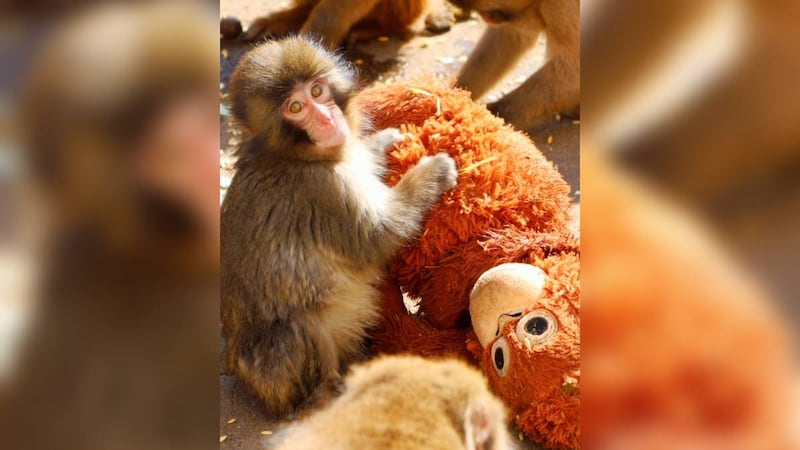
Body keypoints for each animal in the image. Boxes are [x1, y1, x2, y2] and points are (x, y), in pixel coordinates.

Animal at [220, 36, 458, 417]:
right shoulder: (323, 190)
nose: (325, 118)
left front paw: (381, 142)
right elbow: (378, 237)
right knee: (297, 327)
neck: (296, 155)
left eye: (317, 90)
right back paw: (327, 393)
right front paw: (431, 172)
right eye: (296, 107)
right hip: (272, 376)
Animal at [451, 0, 580, 131]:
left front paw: (487, 120)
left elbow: (572, 75)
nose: (488, 18)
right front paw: (456, 92)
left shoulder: (564, 5)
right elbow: (511, 34)